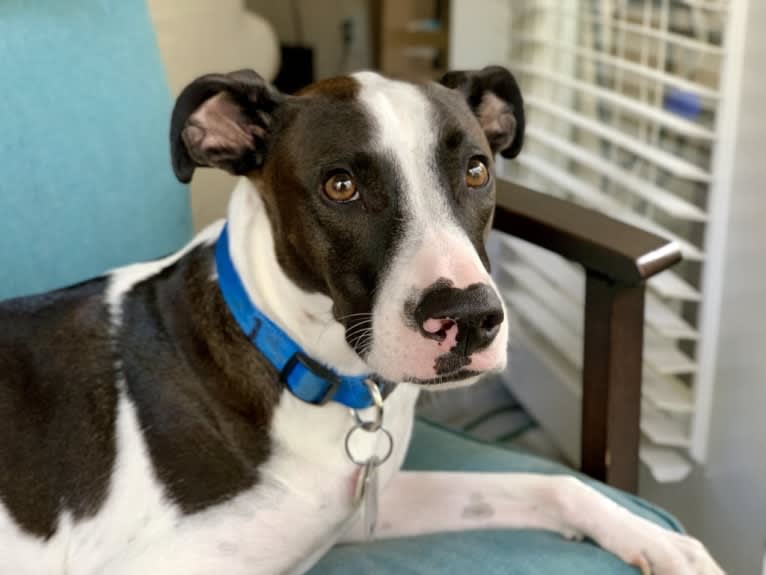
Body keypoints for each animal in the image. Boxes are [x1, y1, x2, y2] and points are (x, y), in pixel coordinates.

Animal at [0, 68, 724, 575]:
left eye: (476, 170)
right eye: (340, 186)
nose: (469, 319)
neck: (297, 360)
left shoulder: (361, 506)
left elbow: (550, 484)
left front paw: (661, 541)